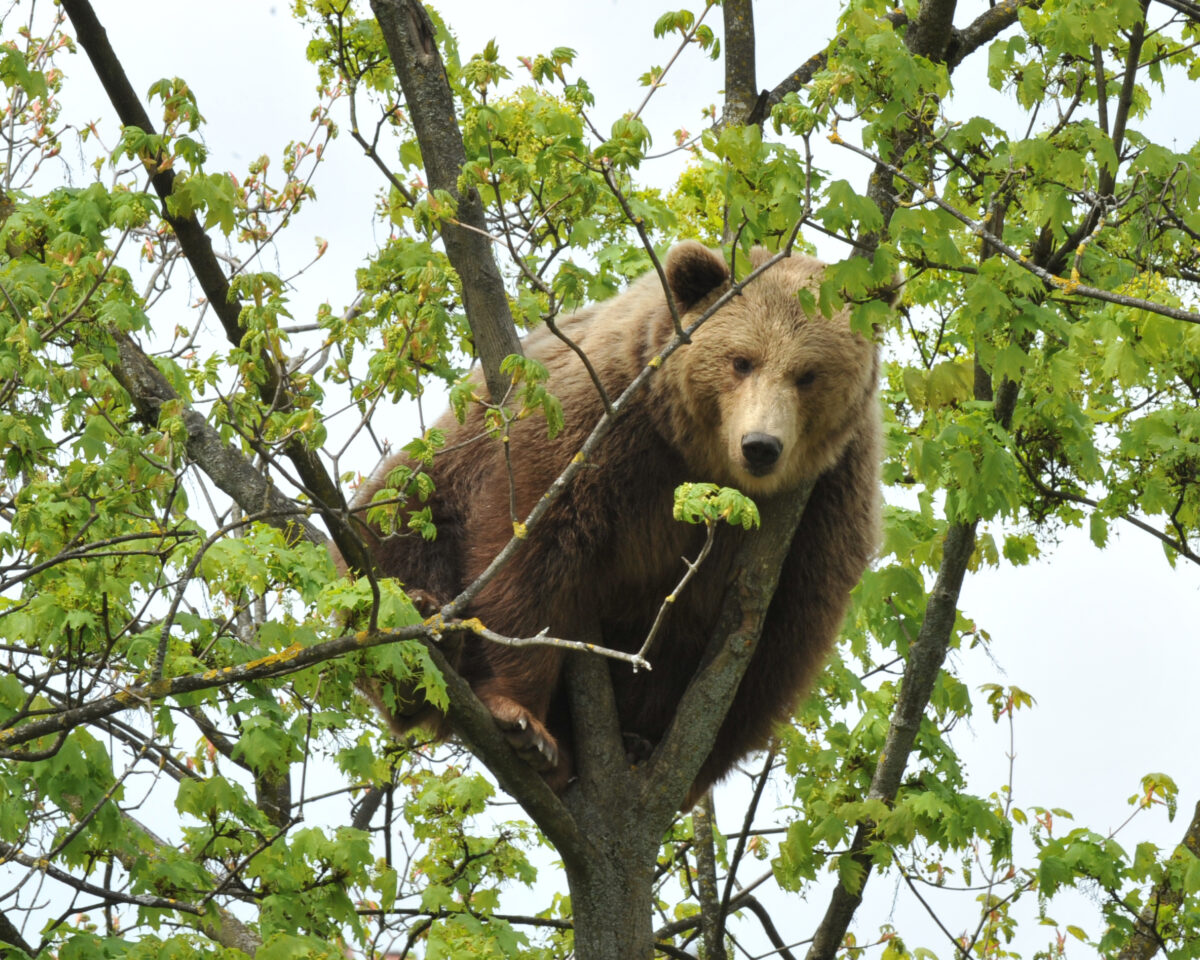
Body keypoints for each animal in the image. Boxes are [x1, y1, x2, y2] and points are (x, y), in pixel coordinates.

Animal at [351, 241, 882, 805]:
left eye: (808, 375)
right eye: (741, 361)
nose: (760, 446)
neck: (705, 463)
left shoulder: (824, 505)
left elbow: (772, 648)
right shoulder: (605, 416)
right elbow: (530, 550)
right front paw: (522, 720)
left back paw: (629, 742)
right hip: (440, 468)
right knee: (398, 528)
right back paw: (425, 638)